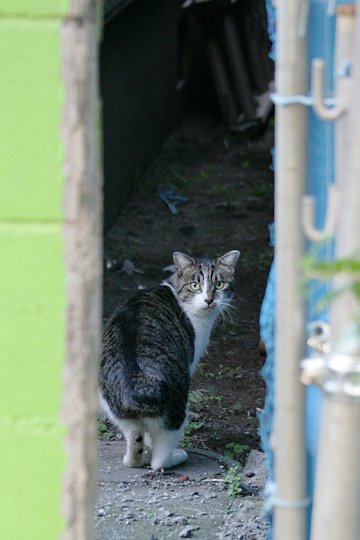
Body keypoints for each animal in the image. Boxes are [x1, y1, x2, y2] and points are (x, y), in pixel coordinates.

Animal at [99, 251, 239, 470]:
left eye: (219, 284)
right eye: (195, 285)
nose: (209, 300)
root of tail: (136, 383)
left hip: (110, 403)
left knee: (134, 435)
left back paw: (133, 457)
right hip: (178, 403)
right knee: (160, 459)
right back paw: (177, 456)